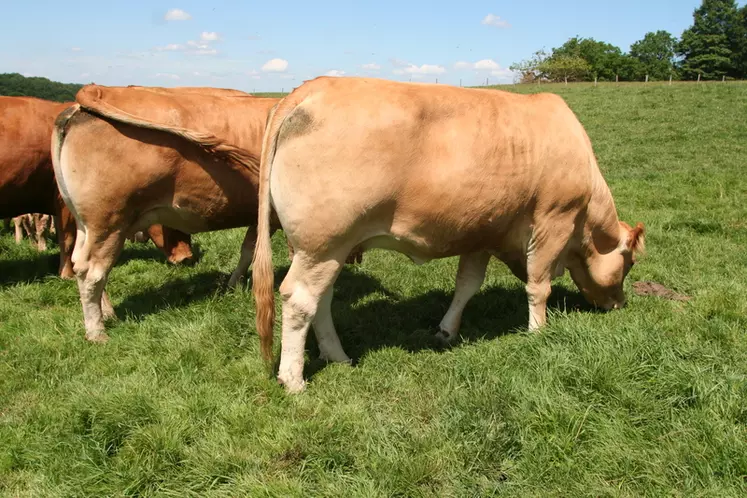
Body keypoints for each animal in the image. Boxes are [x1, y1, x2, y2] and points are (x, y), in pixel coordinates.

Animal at [54, 84, 364, 342]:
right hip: (108, 222)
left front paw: (232, 284)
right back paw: (97, 332)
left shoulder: (259, 217)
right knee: (92, 273)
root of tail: (93, 93)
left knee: (86, 267)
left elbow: (248, 250)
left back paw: (106, 312)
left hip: (88, 225)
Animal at [253, 77, 648, 392]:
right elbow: (539, 286)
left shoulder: (483, 232)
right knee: (300, 300)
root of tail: (311, 87)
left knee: (322, 299)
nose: (620, 303)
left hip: (321, 249)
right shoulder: (554, 220)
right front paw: (538, 332)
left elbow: (467, 285)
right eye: (628, 263)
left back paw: (337, 356)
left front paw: (447, 330)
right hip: (325, 243)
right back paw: (293, 379)